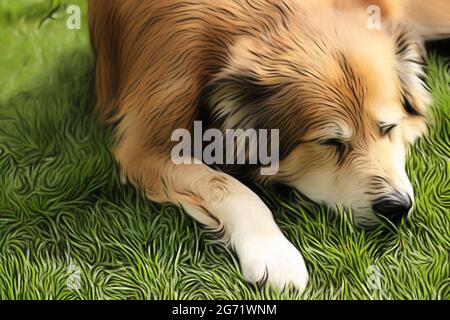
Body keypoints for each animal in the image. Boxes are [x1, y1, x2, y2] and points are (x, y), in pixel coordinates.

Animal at [88, 0, 450, 290]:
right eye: (330, 142)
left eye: (388, 128)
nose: (397, 207)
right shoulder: (142, 151)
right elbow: (228, 187)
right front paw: (273, 252)